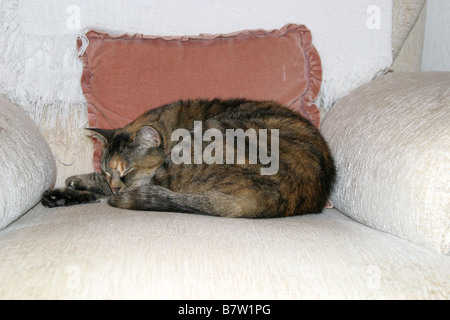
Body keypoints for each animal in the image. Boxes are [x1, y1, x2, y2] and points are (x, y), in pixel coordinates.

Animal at [42, 99, 336, 219]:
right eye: (107, 170)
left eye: (127, 172)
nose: (116, 186)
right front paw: (74, 185)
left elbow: (107, 189)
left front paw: (77, 184)